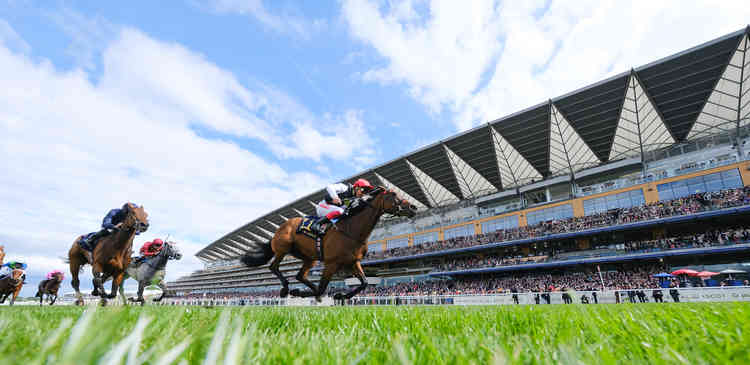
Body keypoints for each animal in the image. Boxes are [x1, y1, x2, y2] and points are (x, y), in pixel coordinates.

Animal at [241, 186, 418, 300]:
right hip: (283, 248)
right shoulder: (331, 263)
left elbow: (364, 283)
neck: (351, 230)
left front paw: (340, 295)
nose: (413, 207)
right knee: (274, 267)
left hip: (310, 258)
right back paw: (286, 289)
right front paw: (301, 293)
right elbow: (322, 287)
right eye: (394, 194)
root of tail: (280, 228)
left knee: (299, 275)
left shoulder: (353, 262)